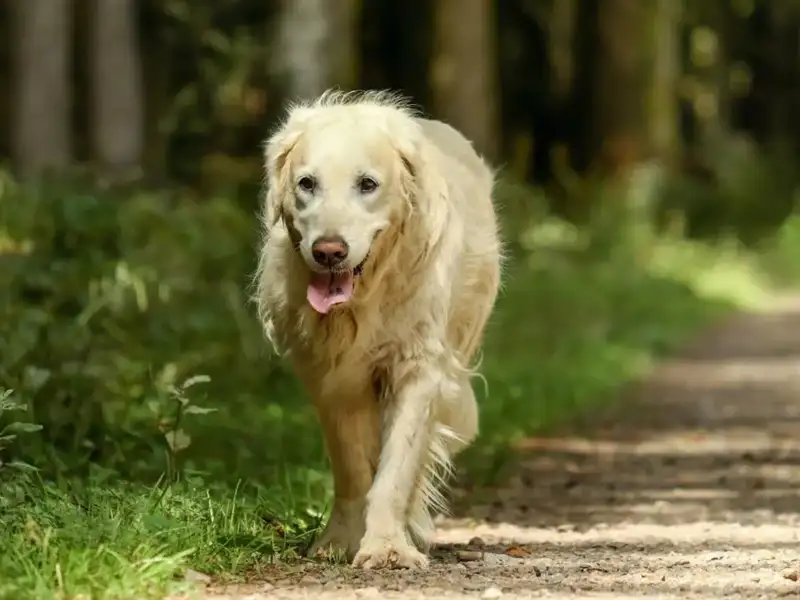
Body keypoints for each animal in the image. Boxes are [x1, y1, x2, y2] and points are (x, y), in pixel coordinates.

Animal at [255, 91, 500, 568]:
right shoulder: (330, 376)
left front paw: (387, 545)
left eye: (367, 184)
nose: (329, 251)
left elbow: (397, 467)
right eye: (307, 183)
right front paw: (340, 540)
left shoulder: (419, 368)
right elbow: (352, 467)